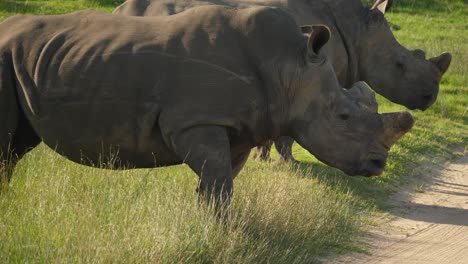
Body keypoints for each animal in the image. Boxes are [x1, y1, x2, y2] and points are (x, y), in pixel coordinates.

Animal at [1, 6, 414, 210]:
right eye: (343, 117)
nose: (379, 164)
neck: (288, 67)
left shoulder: (240, 129)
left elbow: (217, 185)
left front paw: (209, 227)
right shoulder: (196, 122)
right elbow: (220, 186)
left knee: (16, 148)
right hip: (5, 59)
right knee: (8, 146)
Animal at [112, 0, 450, 163]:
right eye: (400, 65)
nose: (429, 97)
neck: (357, 31)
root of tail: (117, 8)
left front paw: (261, 158)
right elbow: (288, 132)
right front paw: (287, 163)